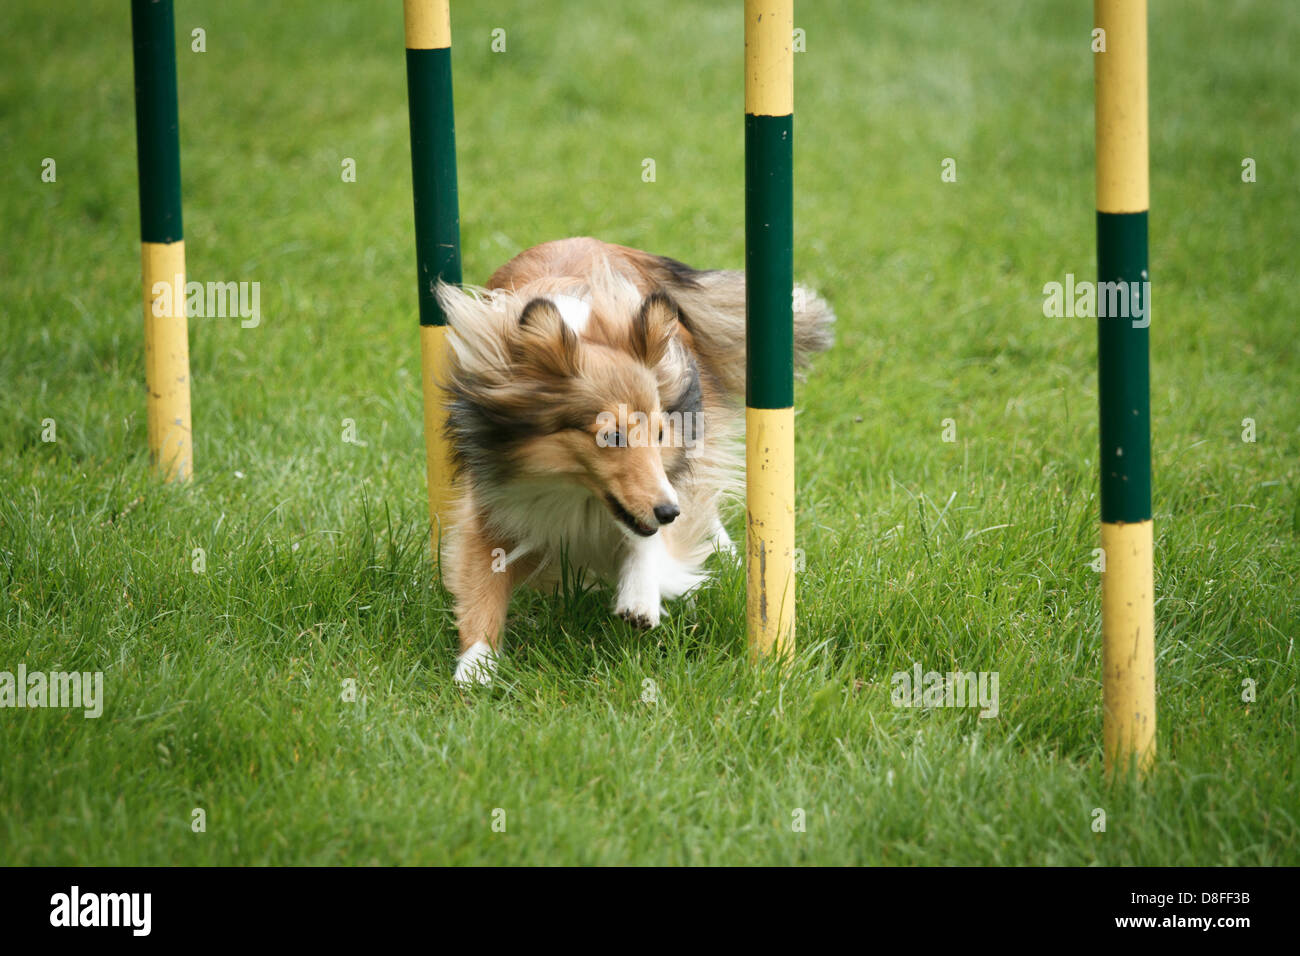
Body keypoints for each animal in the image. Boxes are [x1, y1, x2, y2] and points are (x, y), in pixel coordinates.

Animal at [436, 239, 832, 686]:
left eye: (660, 434)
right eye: (611, 436)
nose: (668, 512)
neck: (574, 492)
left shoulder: (669, 481)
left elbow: (651, 541)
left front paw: (640, 597)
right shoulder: (495, 502)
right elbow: (481, 584)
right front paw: (475, 667)